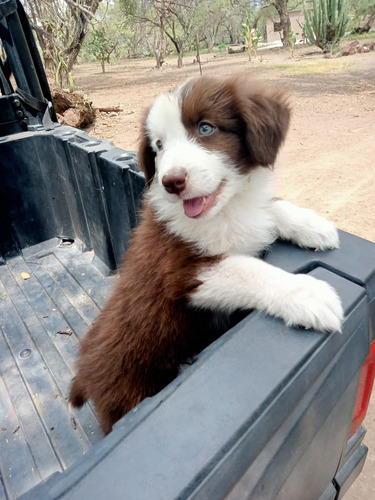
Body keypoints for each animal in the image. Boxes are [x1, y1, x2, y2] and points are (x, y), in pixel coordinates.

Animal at [69, 74, 346, 434]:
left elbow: (270, 210)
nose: (171, 182)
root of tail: (83, 370)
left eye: (205, 128)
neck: (223, 211)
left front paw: (313, 224)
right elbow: (247, 268)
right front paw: (307, 294)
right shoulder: (182, 271)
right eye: (159, 146)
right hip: (127, 390)